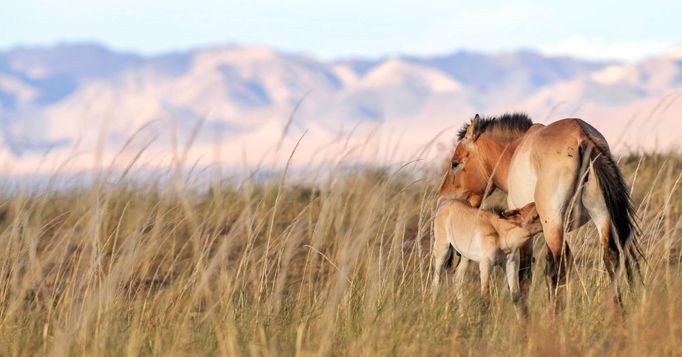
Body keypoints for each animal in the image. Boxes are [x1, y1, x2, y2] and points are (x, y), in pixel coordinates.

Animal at [438, 113, 640, 308]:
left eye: (455, 163)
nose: (442, 199)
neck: (514, 151)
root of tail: (582, 136)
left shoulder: (529, 232)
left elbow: (525, 276)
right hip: (601, 216)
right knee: (610, 258)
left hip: (555, 225)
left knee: (559, 268)